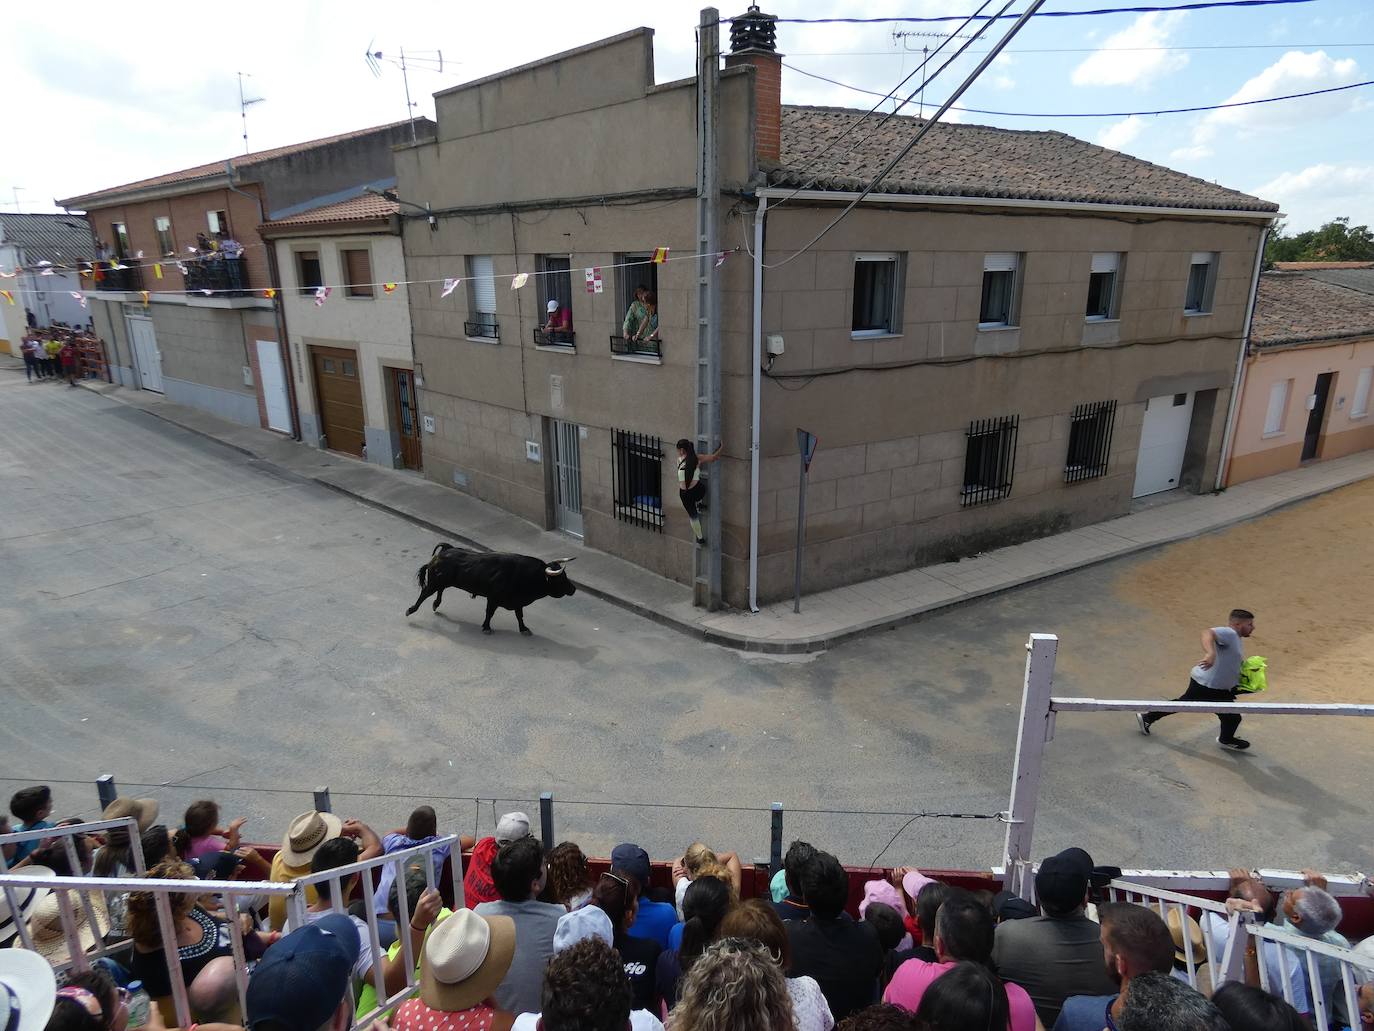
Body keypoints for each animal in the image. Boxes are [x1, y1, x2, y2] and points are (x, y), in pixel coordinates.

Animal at [406, 544, 579, 635]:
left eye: (565, 575)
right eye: (560, 578)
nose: (573, 589)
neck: (527, 575)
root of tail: (445, 551)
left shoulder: (518, 601)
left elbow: (519, 616)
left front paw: (524, 629)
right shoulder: (493, 598)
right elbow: (490, 612)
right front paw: (486, 627)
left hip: (442, 582)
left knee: (439, 591)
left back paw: (436, 604)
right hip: (434, 583)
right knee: (424, 594)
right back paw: (411, 610)